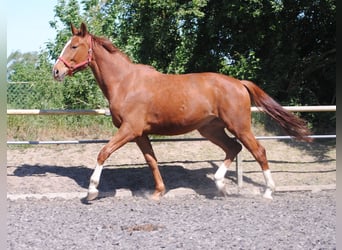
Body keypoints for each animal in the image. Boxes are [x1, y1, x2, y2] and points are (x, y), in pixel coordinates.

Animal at [52, 23, 312, 201]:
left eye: (74, 46)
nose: (56, 71)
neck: (125, 82)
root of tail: (239, 83)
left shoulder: (129, 129)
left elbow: (103, 153)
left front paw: (92, 190)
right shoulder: (140, 133)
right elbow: (151, 161)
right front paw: (158, 192)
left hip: (239, 126)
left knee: (258, 151)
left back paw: (268, 192)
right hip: (211, 129)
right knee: (233, 148)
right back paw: (220, 186)